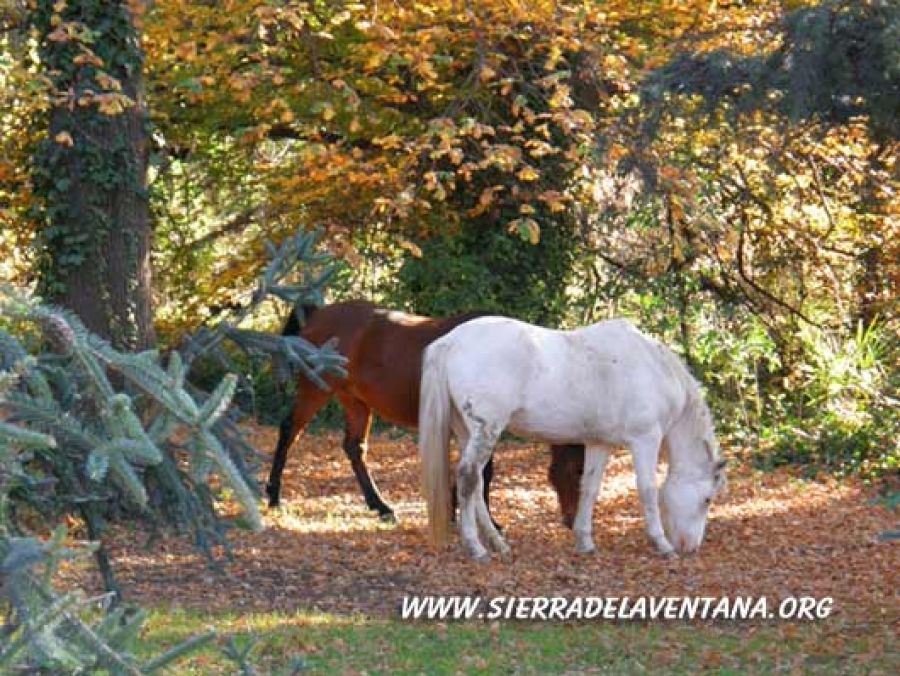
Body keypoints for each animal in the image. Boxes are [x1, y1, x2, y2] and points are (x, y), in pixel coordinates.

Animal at [268, 298, 584, 524]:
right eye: (579, 469)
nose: (572, 521)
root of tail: (318, 314)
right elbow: (483, 470)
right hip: (316, 389)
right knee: (289, 430)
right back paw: (273, 495)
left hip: (355, 401)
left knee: (354, 448)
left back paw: (380, 507)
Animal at [420, 316, 724, 560]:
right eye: (707, 499)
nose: (691, 547)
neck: (654, 369)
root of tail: (451, 341)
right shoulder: (644, 441)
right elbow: (647, 490)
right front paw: (662, 545)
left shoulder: (600, 443)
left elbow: (588, 488)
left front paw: (585, 542)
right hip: (486, 431)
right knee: (468, 478)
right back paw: (476, 548)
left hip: (467, 432)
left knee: (477, 484)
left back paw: (499, 545)